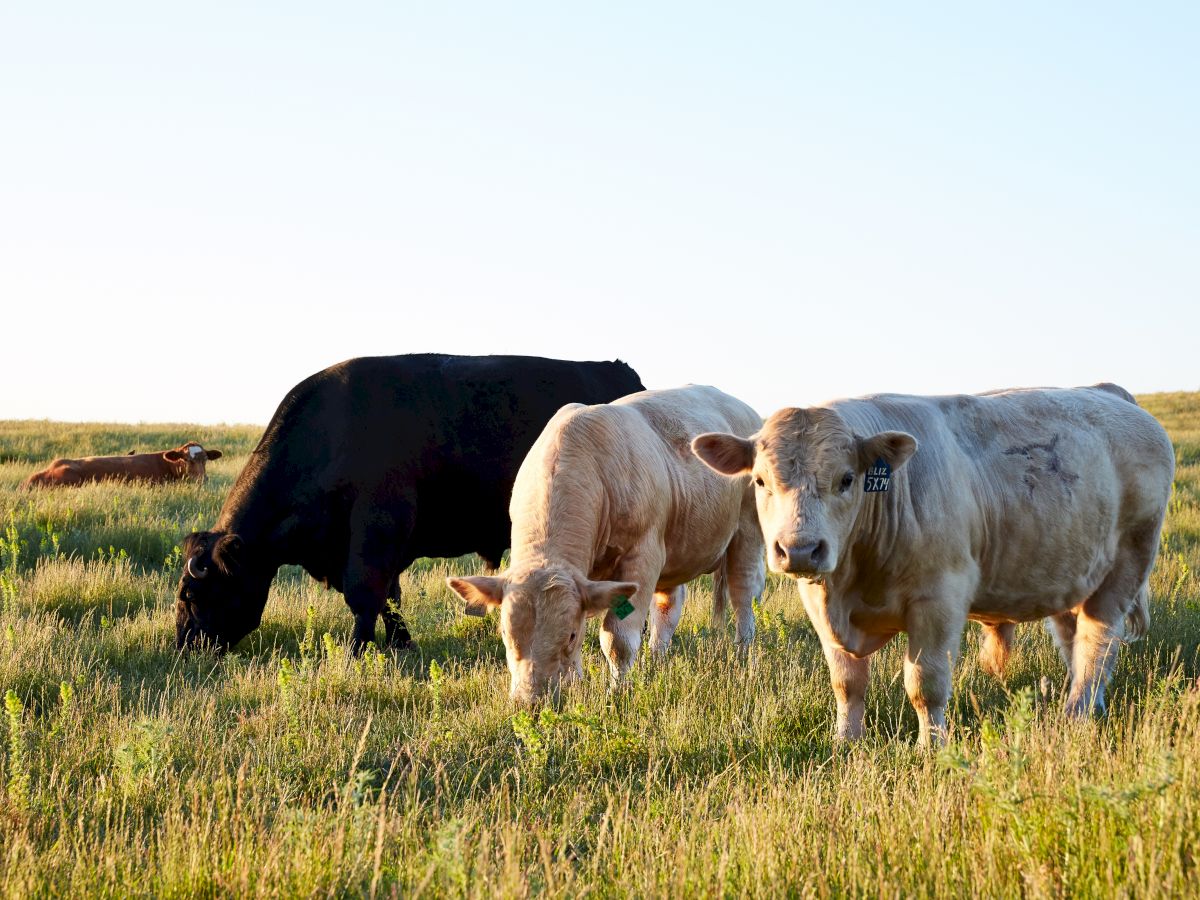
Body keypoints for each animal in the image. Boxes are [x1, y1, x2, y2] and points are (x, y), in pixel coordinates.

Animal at [175, 354, 645, 653]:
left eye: (193, 595)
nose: (185, 648)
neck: (328, 434)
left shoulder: (375, 534)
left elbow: (366, 595)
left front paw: (356, 651)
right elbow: (391, 597)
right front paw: (401, 642)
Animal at [446, 385, 765, 704]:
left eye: (571, 635)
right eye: (504, 632)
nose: (531, 700)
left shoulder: (643, 557)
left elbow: (618, 638)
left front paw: (618, 691)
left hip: (747, 530)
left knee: (743, 595)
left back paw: (743, 653)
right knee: (668, 608)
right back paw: (656, 661)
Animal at [692, 383, 1174, 746]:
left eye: (847, 479)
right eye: (760, 481)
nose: (799, 550)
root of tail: (1112, 396)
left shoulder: (939, 600)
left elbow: (925, 683)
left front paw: (932, 745)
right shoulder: (819, 605)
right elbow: (847, 682)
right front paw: (845, 740)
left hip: (1129, 560)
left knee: (1098, 641)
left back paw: (1076, 713)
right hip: (1070, 572)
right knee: (1075, 639)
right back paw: (1088, 703)